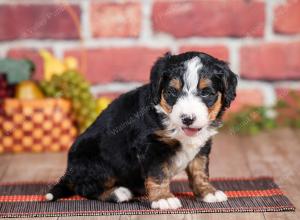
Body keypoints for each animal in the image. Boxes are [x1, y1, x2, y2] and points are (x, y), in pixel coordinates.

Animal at [45, 51, 238, 210]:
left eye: (206, 92)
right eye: (171, 91)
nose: (187, 118)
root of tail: (69, 172)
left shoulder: (202, 146)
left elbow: (200, 171)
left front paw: (208, 192)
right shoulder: (152, 146)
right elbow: (158, 174)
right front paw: (163, 198)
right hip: (95, 162)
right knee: (86, 188)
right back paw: (119, 193)